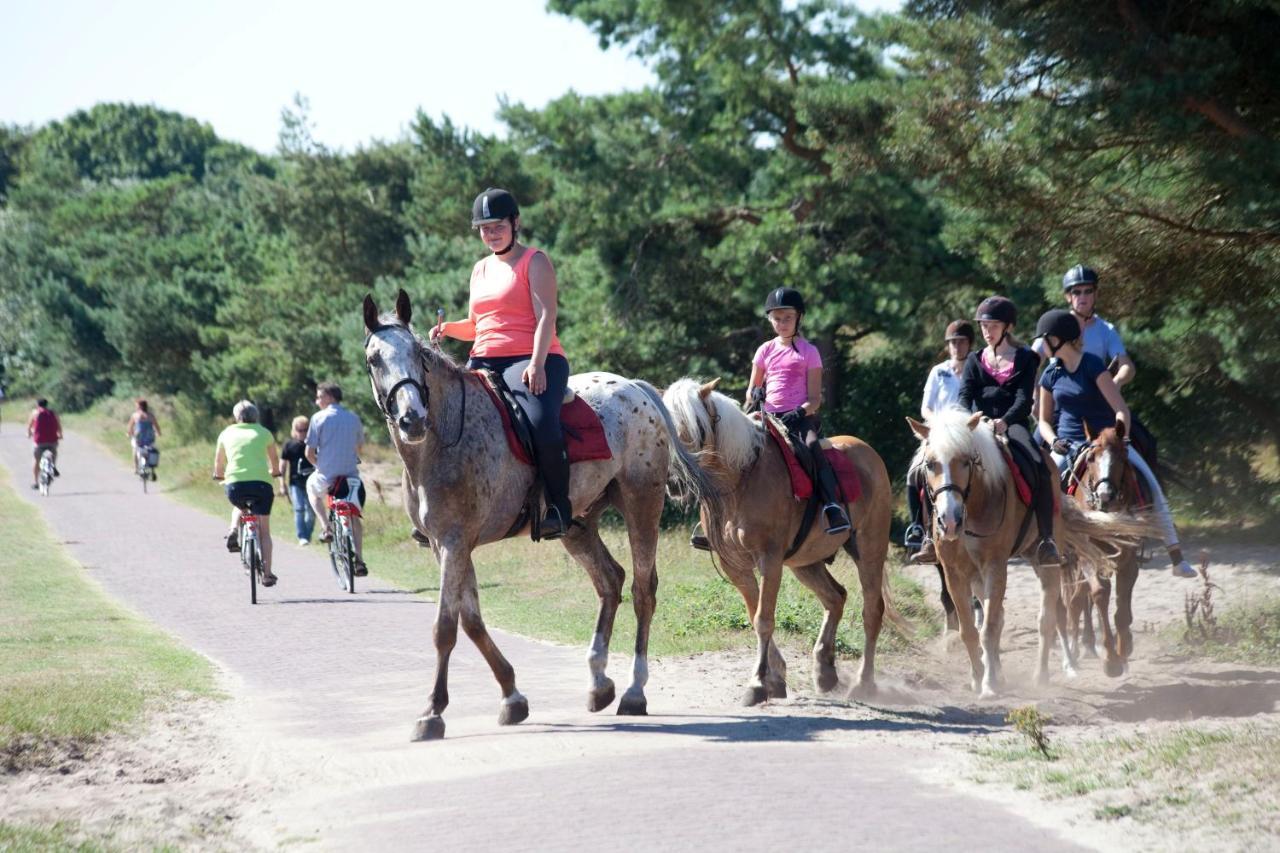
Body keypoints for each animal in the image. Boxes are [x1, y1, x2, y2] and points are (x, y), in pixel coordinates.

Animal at [363, 286, 721, 737]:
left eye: (418, 355)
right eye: (374, 359)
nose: (412, 419)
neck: (442, 441)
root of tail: (636, 388)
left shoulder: (454, 543)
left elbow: (445, 627)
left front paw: (432, 711)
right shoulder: (447, 547)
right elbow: (472, 622)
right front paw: (512, 697)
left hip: (642, 501)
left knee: (643, 590)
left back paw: (634, 691)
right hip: (577, 524)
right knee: (610, 581)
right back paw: (599, 683)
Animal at [660, 376, 901, 701]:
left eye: (697, 426)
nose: (675, 481)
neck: (742, 478)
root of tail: (868, 454)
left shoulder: (770, 559)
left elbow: (764, 619)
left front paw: (758, 683)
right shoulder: (734, 566)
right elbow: (754, 614)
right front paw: (775, 678)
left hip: (869, 549)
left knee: (872, 611)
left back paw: (864, 684)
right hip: (806, 563)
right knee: (835, 597)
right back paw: (825, 671)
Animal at [906, 409, 1157, 696]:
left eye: (966, 462)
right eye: (930, 464)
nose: (949, 520)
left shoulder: (995, 566)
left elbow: (989, 628)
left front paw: (989, 684)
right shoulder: (954, 572)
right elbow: (970, 630)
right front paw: (978, 678)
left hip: (1046, 562)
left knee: (1050, 616)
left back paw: (1046, 673)